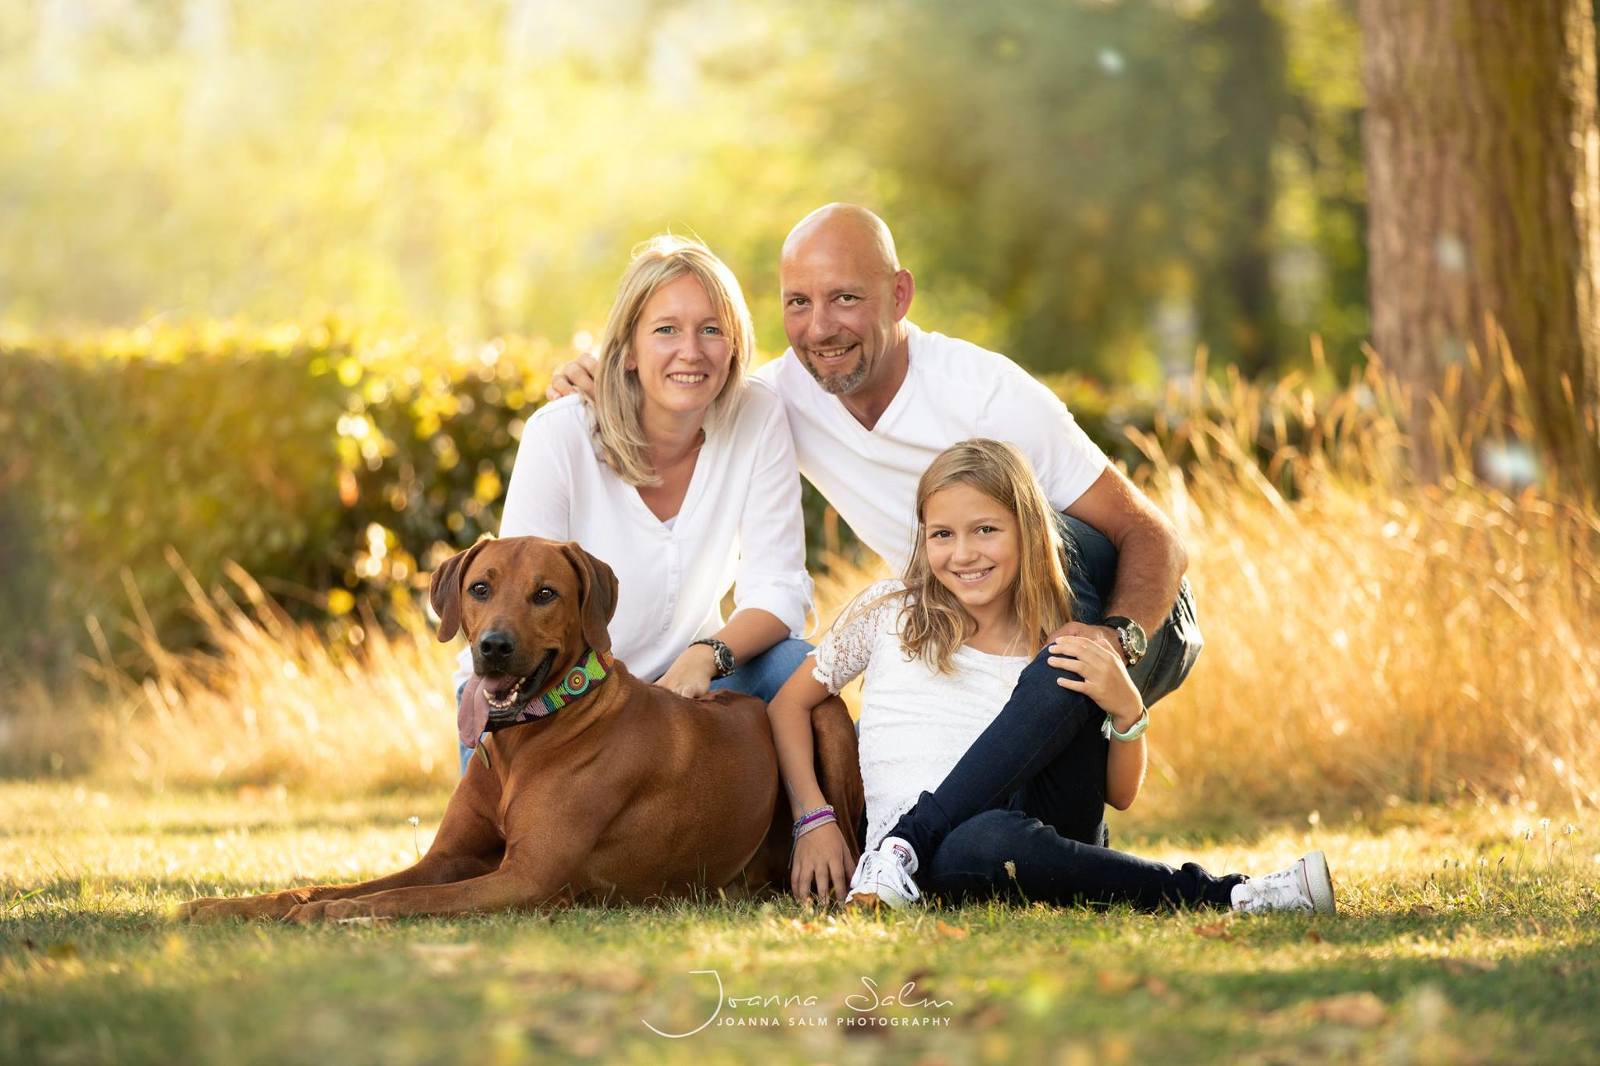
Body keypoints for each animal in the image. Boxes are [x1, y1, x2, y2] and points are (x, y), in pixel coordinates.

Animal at [178, 534, 864, 915]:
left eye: (545, 594)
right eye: (480, 588)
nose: (494, 648)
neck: (527, 735)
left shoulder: (525, 879)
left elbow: (401, 899)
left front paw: (337, 918)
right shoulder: (449, 858)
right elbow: (331, 887)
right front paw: (225, 906)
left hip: (826, 718)